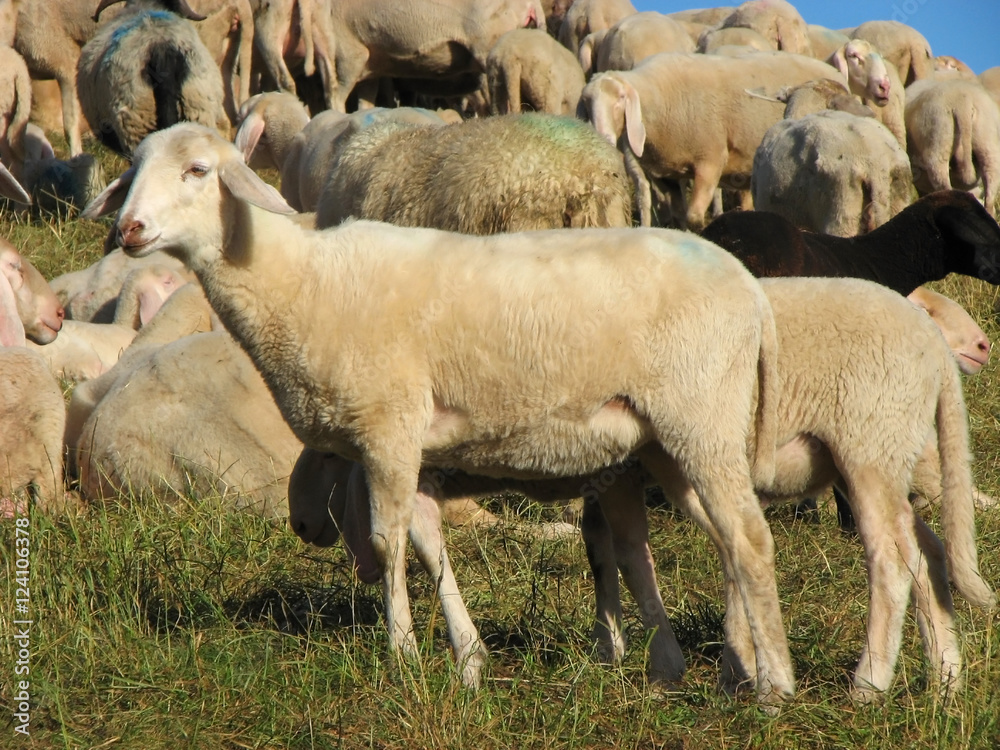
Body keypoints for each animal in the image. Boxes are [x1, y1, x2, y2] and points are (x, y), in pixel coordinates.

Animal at [578, 50, 843, 229]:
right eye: (587, 101)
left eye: (621, 98)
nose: (602, 135)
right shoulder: (667, 176)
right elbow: (678, 218)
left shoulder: (710, 160)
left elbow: (694, 218)